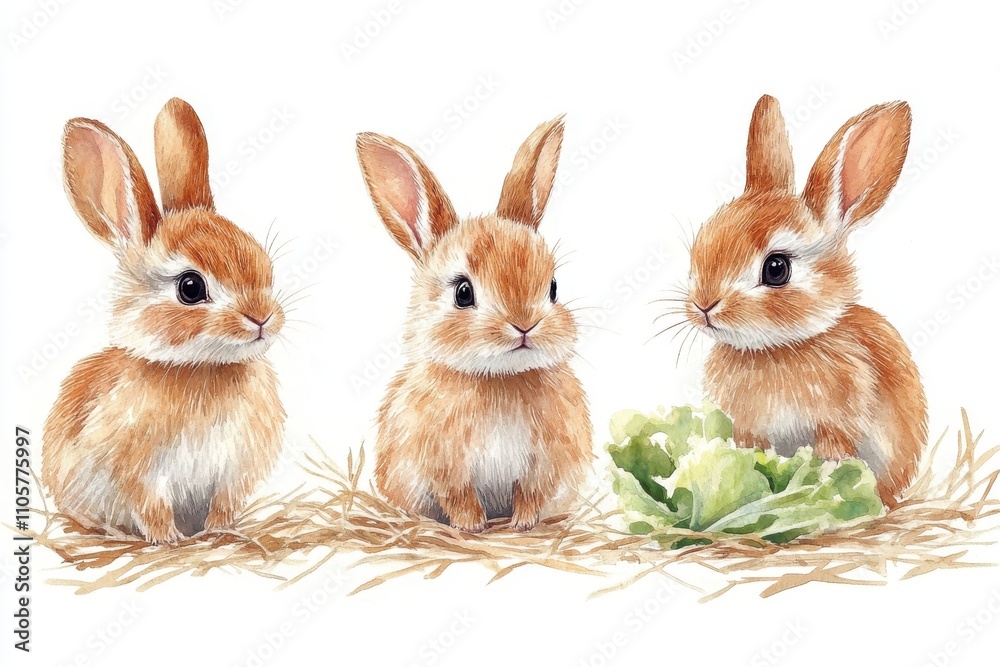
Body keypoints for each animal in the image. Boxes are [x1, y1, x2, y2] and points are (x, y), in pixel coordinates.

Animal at [41, 98, 287, 544]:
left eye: (264, 263)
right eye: (190, 287)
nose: (262, 317)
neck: (200, 368)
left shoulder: (233, 473)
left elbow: (223, 505)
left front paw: (219, 533)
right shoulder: (138, 473)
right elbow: (151, 506)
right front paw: (169, 541)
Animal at [356, 117, 593, 532]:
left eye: (553, 287)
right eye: (463, 292)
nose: (524, 326)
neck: (497, 379)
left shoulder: (545, 465)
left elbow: (531, 494)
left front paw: (522, 524)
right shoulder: (443, 467)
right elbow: (459, 497)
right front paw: (472, 527)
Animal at [678, 94, 927, 506]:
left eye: (776, 269)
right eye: (699, 249)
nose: (704, 306)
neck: (777, 349)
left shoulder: (840, 418)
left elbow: (834, 450)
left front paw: (824, 482)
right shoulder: (747, 429)